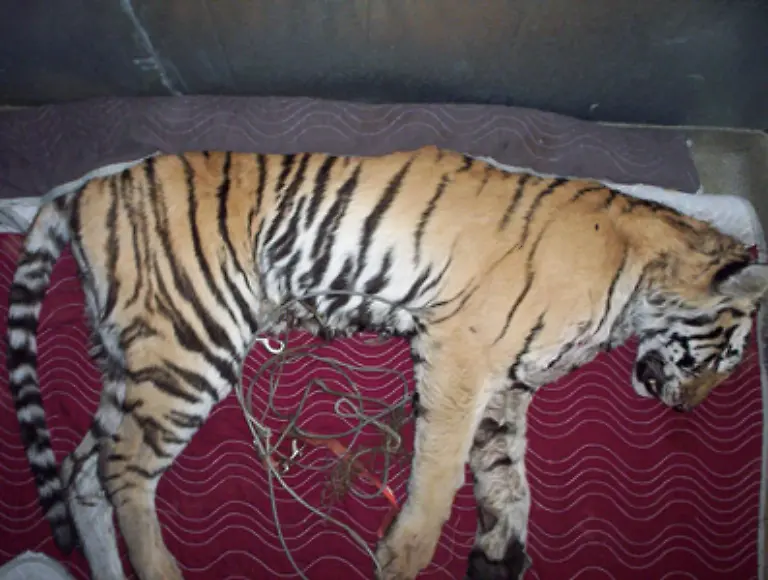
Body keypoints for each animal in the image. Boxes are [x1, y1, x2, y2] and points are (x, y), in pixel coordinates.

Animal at [5, 145, 767, 580]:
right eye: (729, 353)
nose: (685, 407)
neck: (634, 291)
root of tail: (89, 188)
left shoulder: (507, 388)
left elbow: (508, 479)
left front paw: (499, 555)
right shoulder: (461, 351)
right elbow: (441, 469)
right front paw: (405, 557)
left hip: (134, 358)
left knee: (82, 472)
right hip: (195, 338)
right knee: (123, 466)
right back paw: (160, 571)